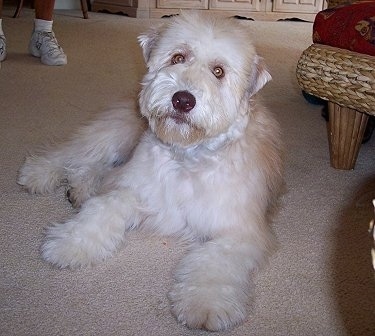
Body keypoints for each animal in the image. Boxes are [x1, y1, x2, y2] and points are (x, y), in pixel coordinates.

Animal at [16, 11, 282, 332]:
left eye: (218, 71)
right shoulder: (133, 188)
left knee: (90, 170)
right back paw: (38, 174)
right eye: (178, 57)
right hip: (112, 135)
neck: (185, 158)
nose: (182, 99)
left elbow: (216, 260)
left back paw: (79, 190)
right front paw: (70, 243)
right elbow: (104, 207)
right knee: (71, 154)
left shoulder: (239, 230)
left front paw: (205, 303)